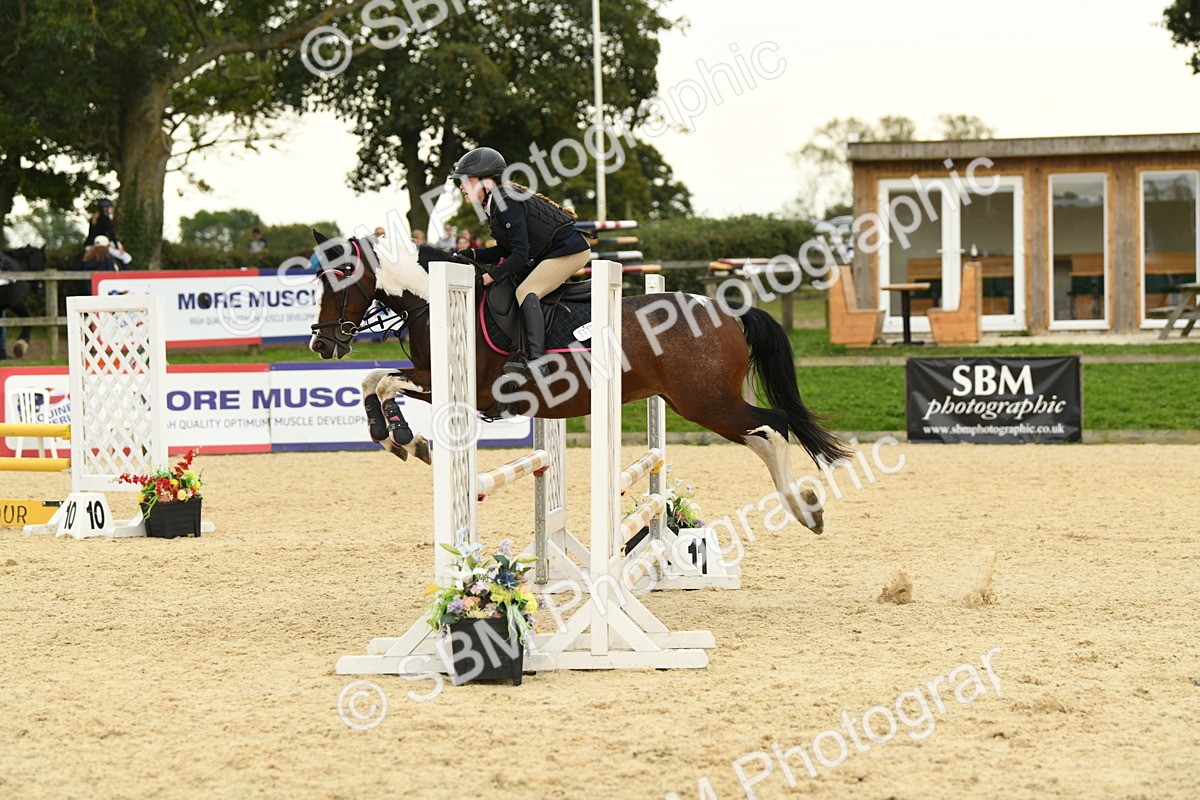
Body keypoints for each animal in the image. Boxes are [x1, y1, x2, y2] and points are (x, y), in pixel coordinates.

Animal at [306, 231, 851, 533]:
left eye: (342, 274)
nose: (321, 343)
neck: (431, 300)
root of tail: (728, 311)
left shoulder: (462, 387)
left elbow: (383, 382)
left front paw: (402, 436)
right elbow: (371, 380)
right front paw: (398, 438)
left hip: (707, 403)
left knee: (772, 427)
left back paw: (805, 510)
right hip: (698, 403)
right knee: (765, 433)